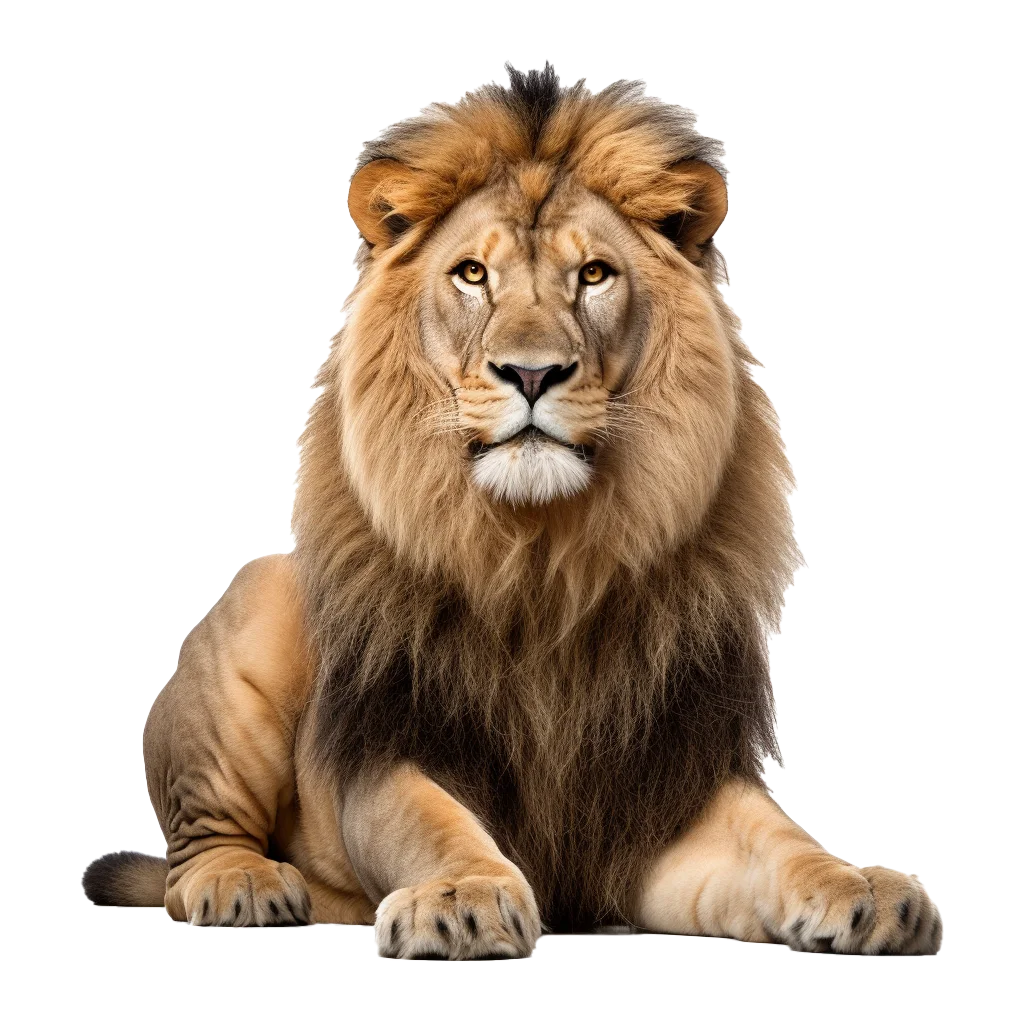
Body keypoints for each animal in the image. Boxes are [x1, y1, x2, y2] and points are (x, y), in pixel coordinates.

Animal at [83, 66, 943, 958]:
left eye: (594, 275)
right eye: (471, 275)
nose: (532, 373)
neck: (541, 560)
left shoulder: (666, 783)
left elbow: (779, 837)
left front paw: (860, 887)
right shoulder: (396, 751)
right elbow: (435, 825)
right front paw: (461, 897)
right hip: (258, 606)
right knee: (191, 853)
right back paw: (244, 885)